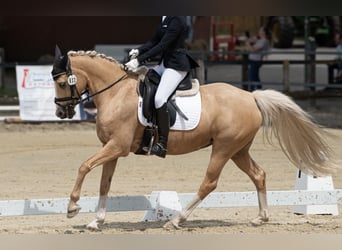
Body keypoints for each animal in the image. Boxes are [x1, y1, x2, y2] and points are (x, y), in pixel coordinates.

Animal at [52, 47, 338, 230]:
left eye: (63, 82)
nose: (61, 112)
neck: (116, 93)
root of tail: (250, 96)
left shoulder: (117, 147)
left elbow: (84, 166)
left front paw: (72, 207)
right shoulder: (111, 149)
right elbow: (104, 184)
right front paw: (96, 221)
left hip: (223, 148)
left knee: (209, 183)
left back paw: (176, 220)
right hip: (239, 150)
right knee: (259, 175)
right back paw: (261, 218)